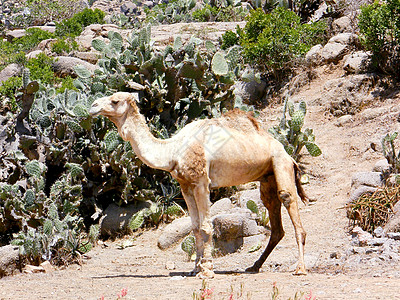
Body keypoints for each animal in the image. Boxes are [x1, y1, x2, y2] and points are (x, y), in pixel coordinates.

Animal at [90, 92, 310, 278]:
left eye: (115, 101)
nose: (92, 106)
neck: (173, 151)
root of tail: (288, 153)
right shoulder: (185, 185)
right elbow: (195, 227)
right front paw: (195, 269)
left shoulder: (201, 182)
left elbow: (205, 226)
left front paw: (207, 270)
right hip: (267, 177)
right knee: (274, 218)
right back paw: (254, 266)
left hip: (280, 163)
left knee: (287, 199)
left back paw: (300, 268)